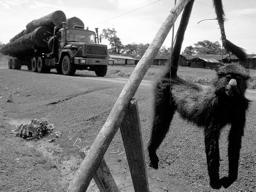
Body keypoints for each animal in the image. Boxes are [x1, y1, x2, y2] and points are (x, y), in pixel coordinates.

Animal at [148, 0, 250, 189]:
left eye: (238, 78)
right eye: (228, 77)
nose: (232, 84)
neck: (228, 101)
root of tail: (173, 79)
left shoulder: (241, 107)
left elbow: (234, 140)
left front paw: (230, 178)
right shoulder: (214, 107)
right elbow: (211, 140)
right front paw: (215, 181)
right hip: (162, 94)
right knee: (161, 122)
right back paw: (151, 150)